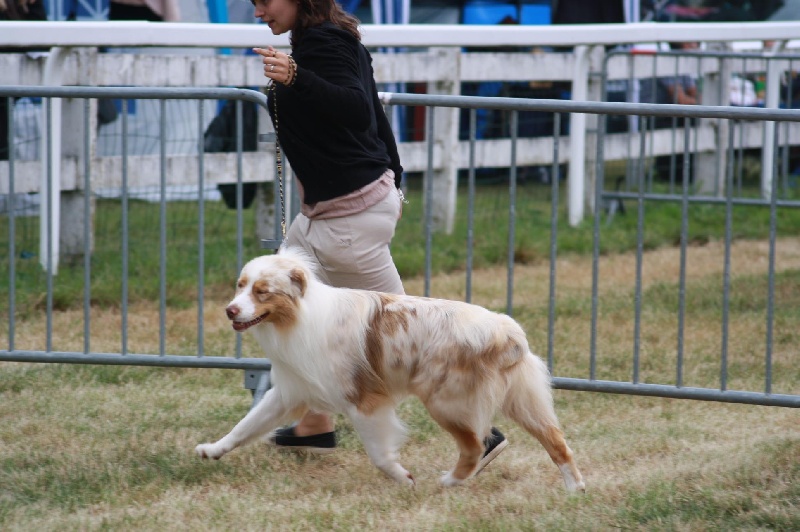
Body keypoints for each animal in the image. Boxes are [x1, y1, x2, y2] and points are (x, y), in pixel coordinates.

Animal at [195, 247, 584, 491]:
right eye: (240, 286)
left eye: (262, 292)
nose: (230, 310)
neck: (300, 317)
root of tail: (506, 331)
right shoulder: (290, 391)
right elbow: (245, 426)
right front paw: (213, 450)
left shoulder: (364, 400)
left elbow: (380, 454)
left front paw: (403, 478)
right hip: (522, 400)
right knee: (557, 442)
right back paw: (574, 488)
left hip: (446, 403)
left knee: (476, 446)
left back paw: (450, 481)